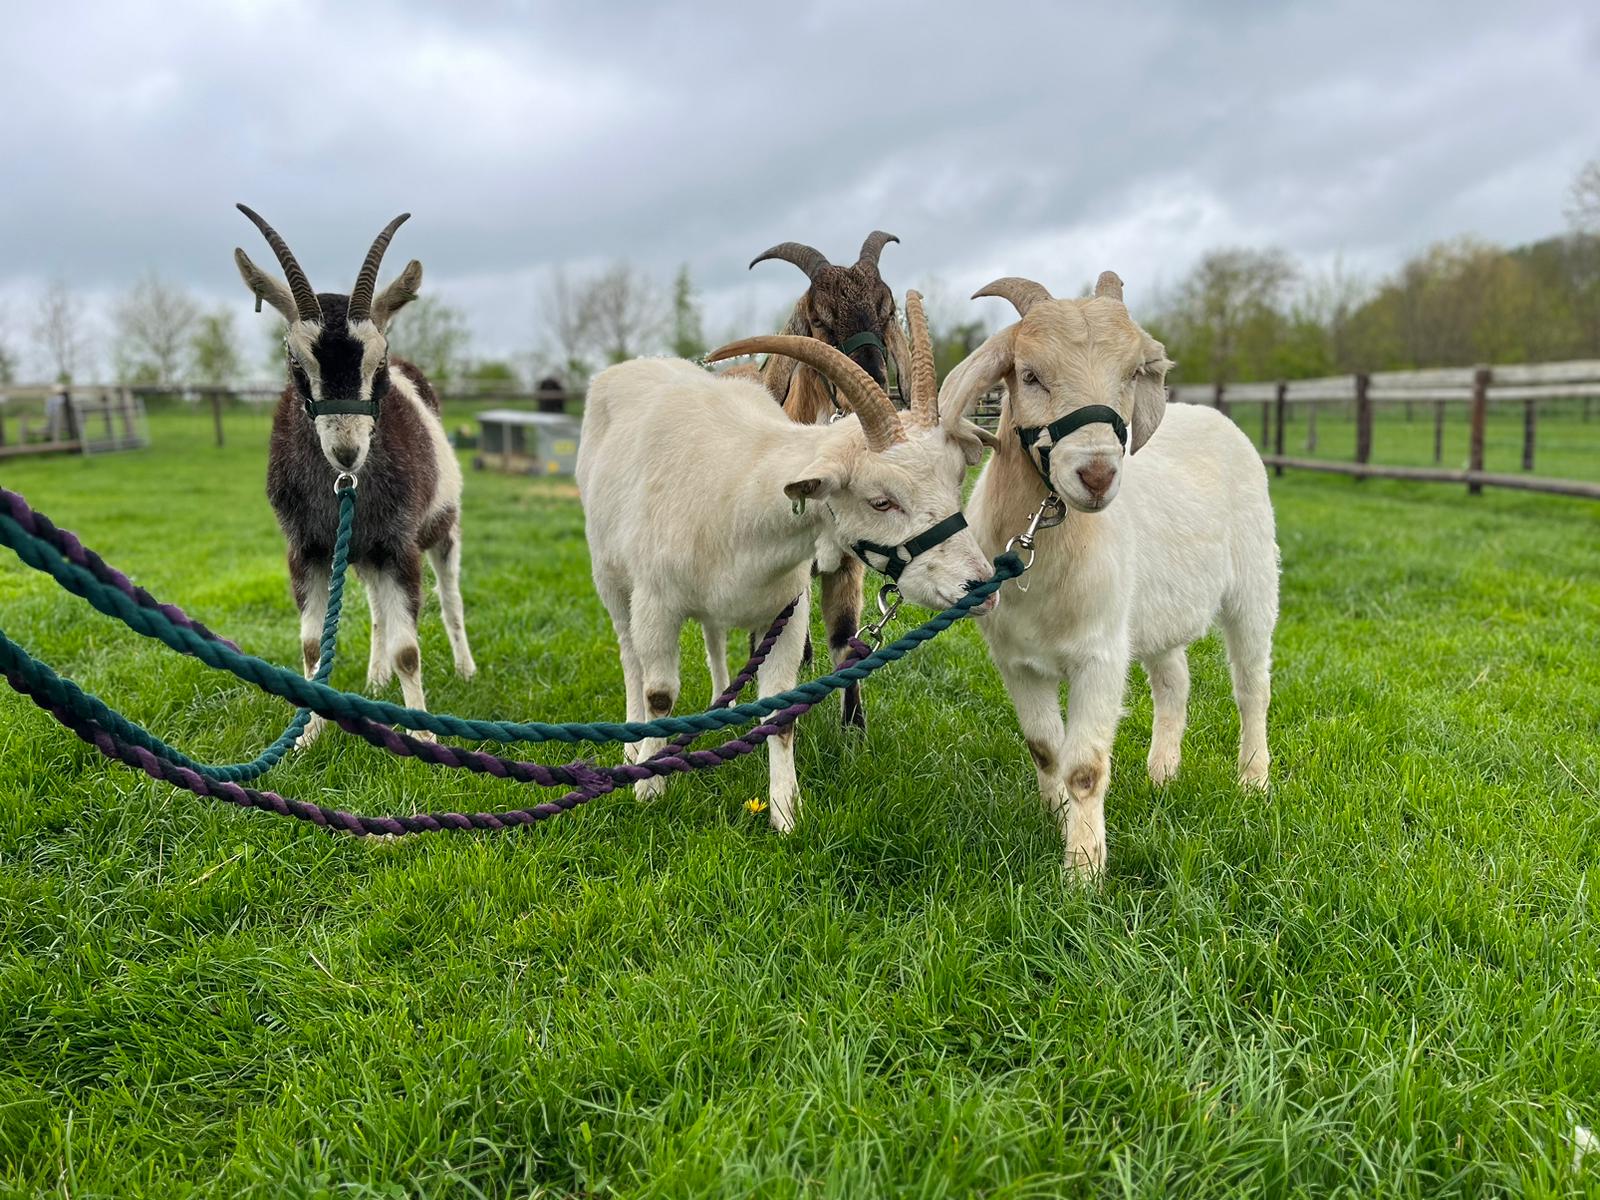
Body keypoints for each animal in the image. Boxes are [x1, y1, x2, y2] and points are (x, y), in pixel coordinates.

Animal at [233, 204, 474, 746]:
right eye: (294, 361)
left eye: (377, 359)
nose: (346, 453)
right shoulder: (308, 550)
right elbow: (311, 646)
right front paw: (307, 736)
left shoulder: (399, 546)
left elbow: (410, 649)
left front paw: (424, 738)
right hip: (362, 554)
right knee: (378, 611)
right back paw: (376, 677)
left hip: (441, 529)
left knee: (450, 598)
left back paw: (465, 668)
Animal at [576, 293, 996, 831]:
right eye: (881, 501)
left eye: (955, 481)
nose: (979, 584)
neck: (738, 490)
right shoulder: (656, 604)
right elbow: (660, 694)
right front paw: (649, 786)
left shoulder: (786, 612)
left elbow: (779, 711)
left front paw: (785, 814)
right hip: (608, 575)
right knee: (630, 655)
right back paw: (633, 745)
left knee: (714, 639)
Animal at [743, 231, 912, 730]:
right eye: (818, 319)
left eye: (886, 310)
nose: (870, 382)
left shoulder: (849, 562)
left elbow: (845, 637)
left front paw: (854, 726)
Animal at [942, 271, 1279, 876]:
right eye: (1030, 375)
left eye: (1130, 374)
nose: (1097, 474)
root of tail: (1207, 413)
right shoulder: (1014, 660)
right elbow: (1045, 748)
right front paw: (1055, 818)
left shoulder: (1099, 655)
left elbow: (1084, 767)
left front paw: (1083, 870)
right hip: (1153, 615)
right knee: (1174, 682)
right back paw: (1163, 773)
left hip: (1256, 584)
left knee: (1252, 688)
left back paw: (1253, 782)